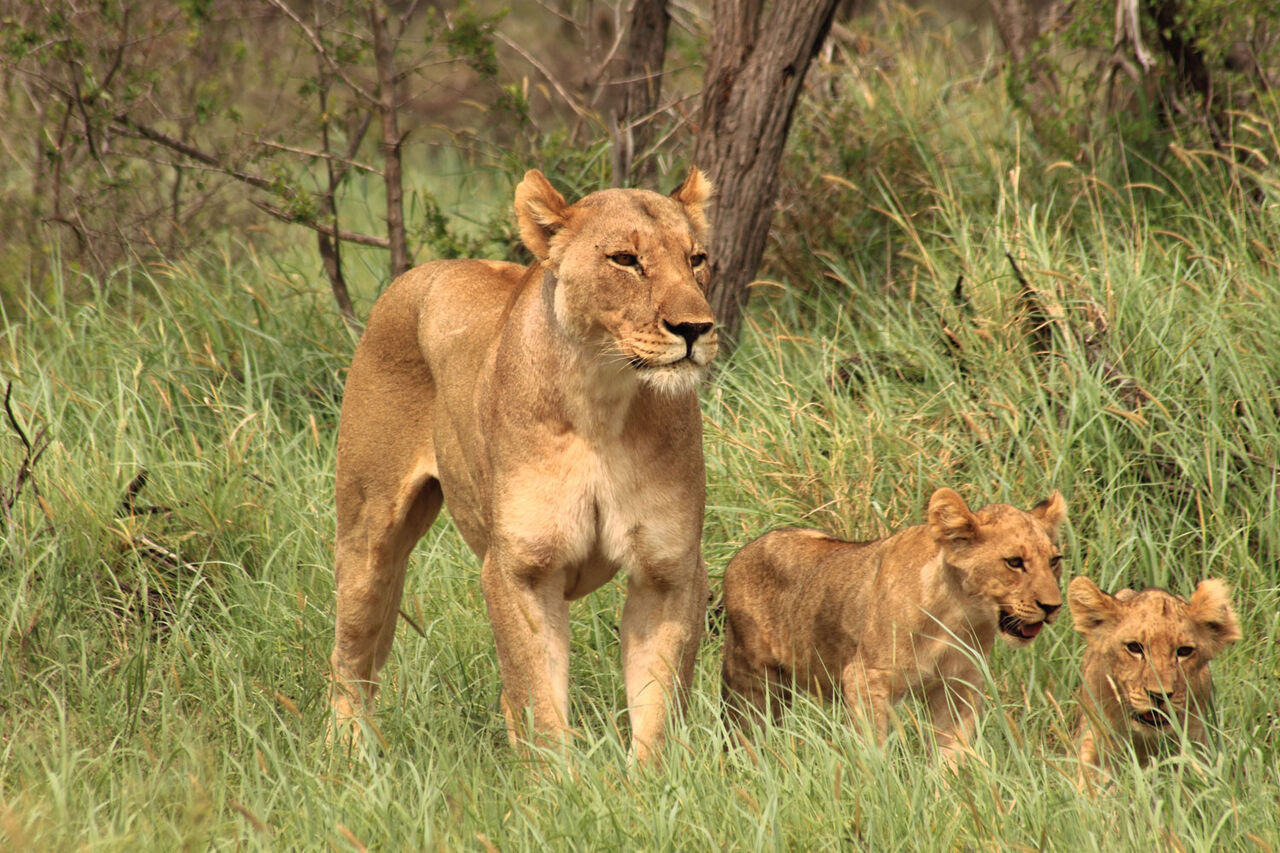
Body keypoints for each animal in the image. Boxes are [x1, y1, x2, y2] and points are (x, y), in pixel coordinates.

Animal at [329, 168, 717, 764]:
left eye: (696, 259)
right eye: (625, 260)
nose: (696, 328)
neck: (601, 399)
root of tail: (416, 274)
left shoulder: (669, 570)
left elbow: (659, 705)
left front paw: (648, 784)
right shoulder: (520, 570)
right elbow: (540, 703)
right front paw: (559, 784)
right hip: (368, 534)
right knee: (350, 660)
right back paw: (345, 762)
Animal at [721, 488, 1066, 764]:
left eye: (1054, 561)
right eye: (1014, 562)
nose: (1053, 607)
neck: (957, 614)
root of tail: (743, 552)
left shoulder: (958, 687)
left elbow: (951, 756)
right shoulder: (866, 679)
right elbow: (872, 750)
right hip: (754, 682)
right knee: (744, 733)